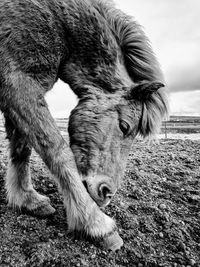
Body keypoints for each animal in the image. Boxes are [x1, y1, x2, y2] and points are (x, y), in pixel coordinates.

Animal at [0, 0, 168, 251]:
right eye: (124, 126)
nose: (106, 193)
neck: (59, 21)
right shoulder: (18, 83)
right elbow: (57, 151)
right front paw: (96, 223)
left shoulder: (19, 91)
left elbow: (22, 148)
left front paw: (27, 199)